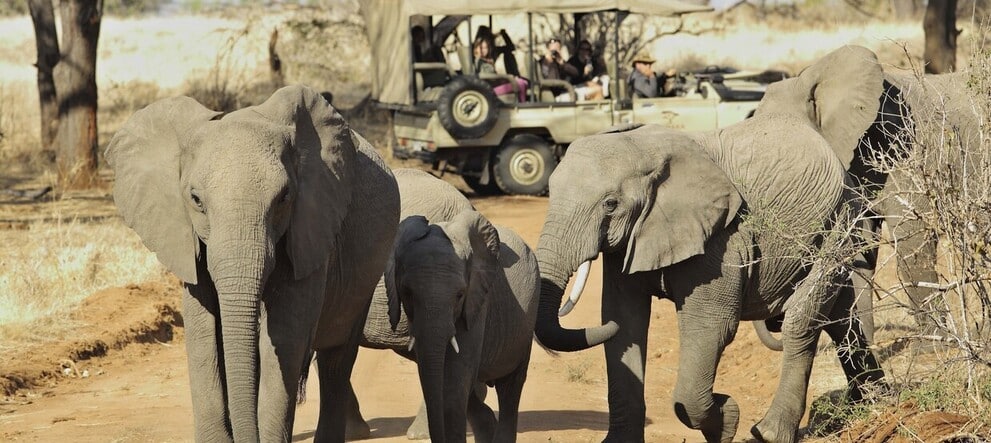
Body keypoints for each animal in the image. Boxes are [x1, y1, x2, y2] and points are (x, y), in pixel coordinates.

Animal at [106, 85, 402, 442]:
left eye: (284, 197)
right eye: (196, 200)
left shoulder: (310, 229)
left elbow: (284, 337)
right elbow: (203, 333)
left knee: (336, 359)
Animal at [390, 209, 544, 443]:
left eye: (460, 295)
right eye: (407, 293)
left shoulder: (477, 303)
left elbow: (454, 387)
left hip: (526, 323)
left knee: (510, 387)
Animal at [532, 45, 888, 443]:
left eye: (610, 204)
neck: (646, 148)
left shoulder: (722, 240)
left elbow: (710, 326)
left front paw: (726, 419)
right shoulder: (635, 237)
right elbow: (625, 320)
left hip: (837, 220)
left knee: (803, 318)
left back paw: (769, 432)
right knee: (839, 312)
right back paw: (874, 402)